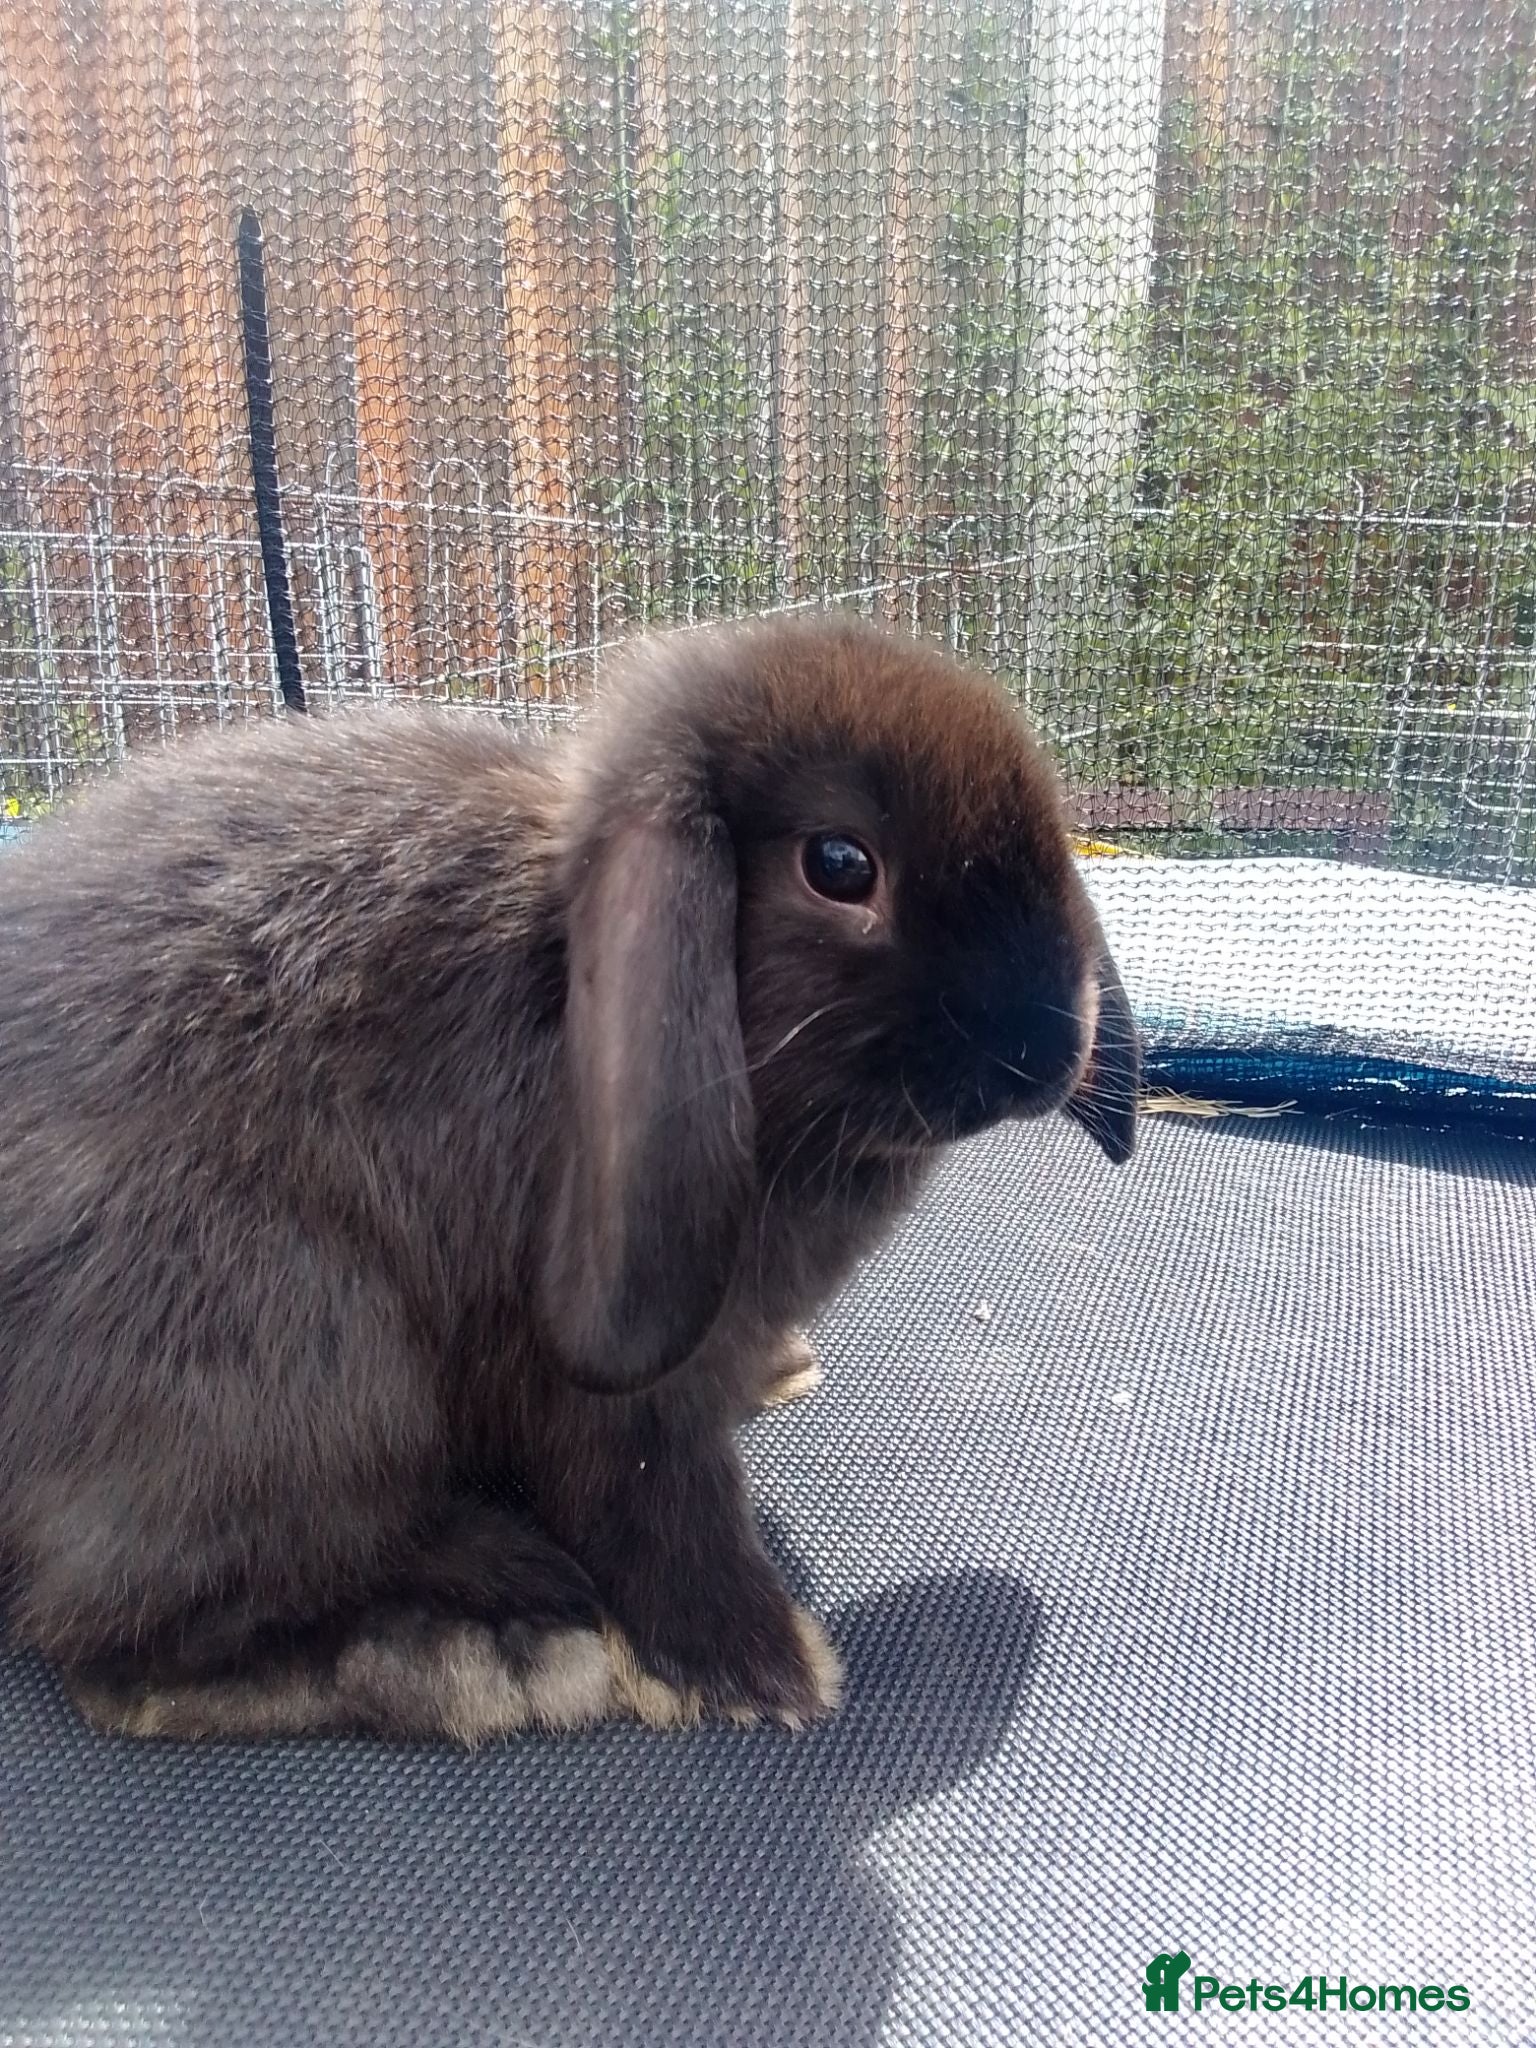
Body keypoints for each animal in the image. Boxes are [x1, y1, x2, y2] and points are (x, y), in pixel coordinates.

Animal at [0, 612, 1139, 1744]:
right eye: (841, 864)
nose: (1049, 1048)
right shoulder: (621, 1396)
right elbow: (655, 1505)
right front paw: (768, 1668)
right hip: (289, 1354)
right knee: (135, 1649)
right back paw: (498, 1648)